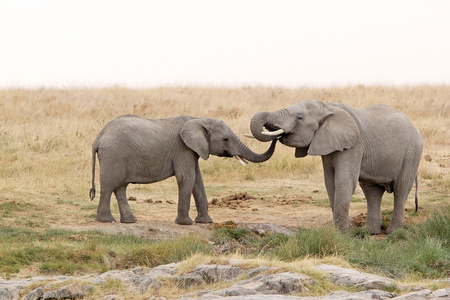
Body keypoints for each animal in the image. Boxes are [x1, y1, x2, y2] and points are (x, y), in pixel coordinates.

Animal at [89, 114, 276, 225]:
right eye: (225, 139)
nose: (273, 130)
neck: (199, 119)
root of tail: (98, 138)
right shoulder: (183, 149)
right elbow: (187, 178)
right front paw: (186, 223)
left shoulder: (193, 151)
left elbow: (198, 181)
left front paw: (206, 222)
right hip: (113, 155)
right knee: (109, 186)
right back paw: (107, 221)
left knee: (120, 187)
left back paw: (130, 221)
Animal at [250, 101, 422, 234]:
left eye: (300, 117)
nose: (277, 136)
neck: (326, 107)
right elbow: (330, 183)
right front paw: (340, 233)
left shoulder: (353, 146)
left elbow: (343, 182)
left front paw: (344, 235)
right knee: (371, 191)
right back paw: (369, 232)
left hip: (412, 153)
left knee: (401, 188)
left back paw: (393, 233)